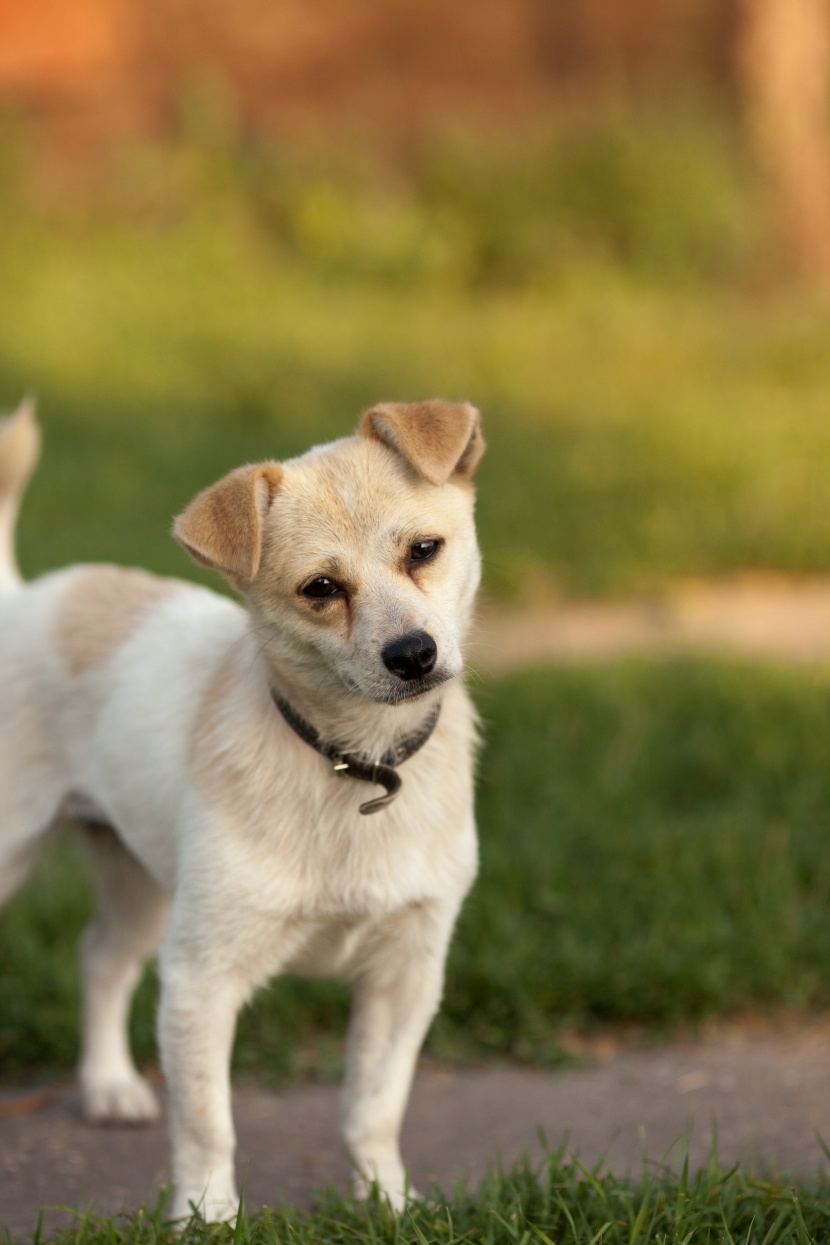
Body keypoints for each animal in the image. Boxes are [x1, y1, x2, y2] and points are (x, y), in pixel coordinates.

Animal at [0, 395, 482, 1215]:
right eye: (321, 588)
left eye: (425, 549)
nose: (413, 654)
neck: (354, 763)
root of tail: (23, 598)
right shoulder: (201, 978)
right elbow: (207, 1125)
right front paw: (206, 1218)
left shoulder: (407, 977)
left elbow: (374, 1106)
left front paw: (386, 1201)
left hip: (138, 881)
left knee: (101, 958)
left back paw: (108, 1086)